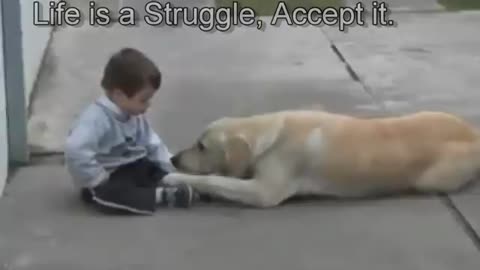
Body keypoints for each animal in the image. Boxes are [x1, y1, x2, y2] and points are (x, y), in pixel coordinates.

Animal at [164, 109, 480, 207]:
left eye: (201, 146)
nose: (174, 159)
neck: (270, 132)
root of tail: (473, 132)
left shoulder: (264, 192)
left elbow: (214, 179)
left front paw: (173, 177)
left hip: (433, 180)